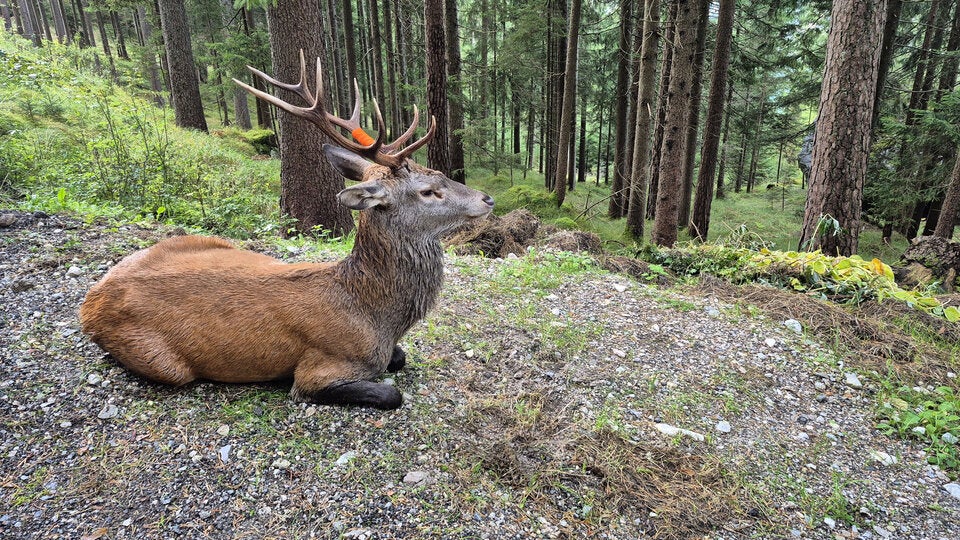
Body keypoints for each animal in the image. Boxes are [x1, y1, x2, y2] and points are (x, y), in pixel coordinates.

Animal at [78, 53, 494, 410]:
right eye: (428, 191)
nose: (487, 198)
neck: (377, 315)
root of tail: (91, 300)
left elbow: (400, 357)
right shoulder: (319, 369)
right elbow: (390, 392)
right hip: (162, 362)